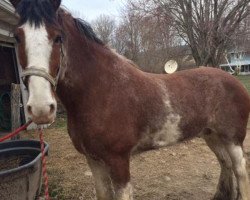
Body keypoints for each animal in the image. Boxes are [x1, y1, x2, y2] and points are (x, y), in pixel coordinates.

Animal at [9, 0, 250, 200]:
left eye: (58, 37)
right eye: (17, 37)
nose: (41, 109)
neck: (102, 91)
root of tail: (232, 79)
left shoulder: (119, 162)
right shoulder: (94, 160)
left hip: (233, 139)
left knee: (240, 170)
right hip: (212, 136)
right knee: (225, 164)